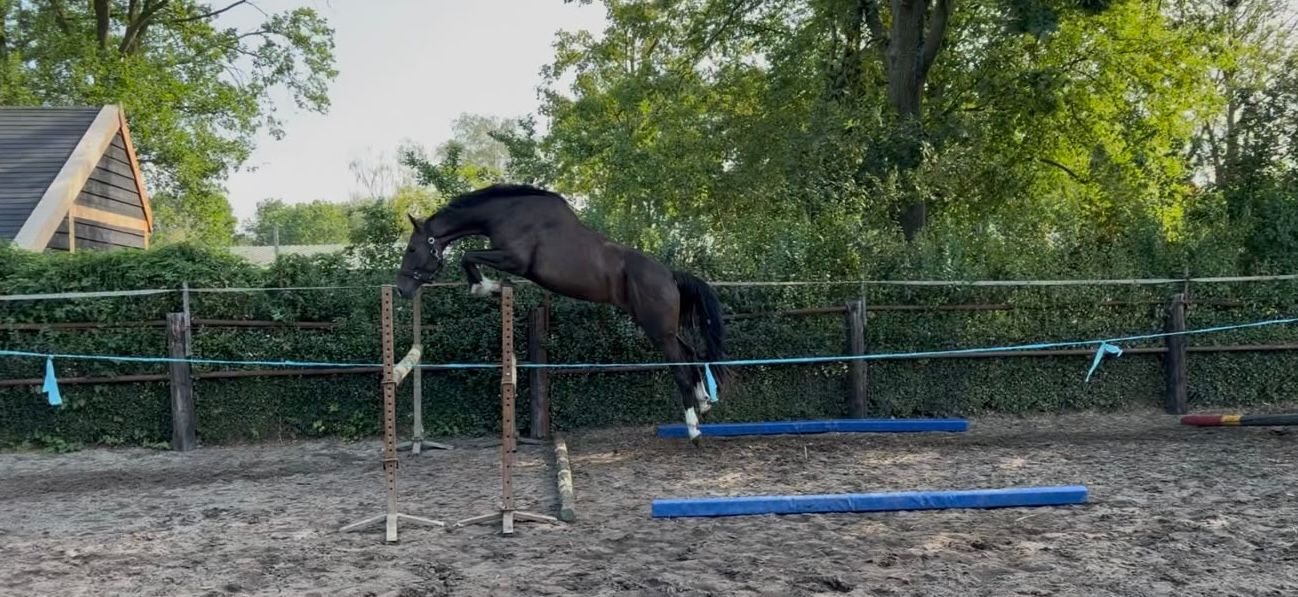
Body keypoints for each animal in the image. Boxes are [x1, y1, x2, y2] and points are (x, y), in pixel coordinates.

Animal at [396, 183, 730, 445]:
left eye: (412, 249)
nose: (402, 288)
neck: (506, 214)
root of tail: (669, 275)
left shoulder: (514, 260)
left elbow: (468, 256)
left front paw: (484, 287)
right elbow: (469, 257)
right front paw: (488, 287)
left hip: (658, 331)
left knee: (680, 369)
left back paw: (694, 430)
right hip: (662, 328)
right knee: (691, 353)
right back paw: (704, 403)